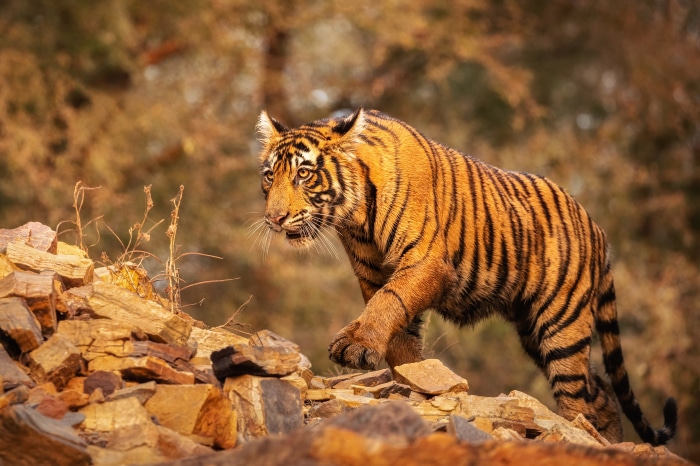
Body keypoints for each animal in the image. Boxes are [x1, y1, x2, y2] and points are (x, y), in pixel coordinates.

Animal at [255, 108, 677, 446]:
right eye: (269, 177)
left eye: (304, 174)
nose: (274, 218)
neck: (355, 216)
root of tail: (598, 228)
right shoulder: (372, 272)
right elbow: (398, 330)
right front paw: (411, 380)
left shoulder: (425, 261)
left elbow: (390, 300)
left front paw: (356, 345)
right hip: (534, 329)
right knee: (600, 390)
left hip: (562, 324)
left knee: (578, 397)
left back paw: (582, 437)